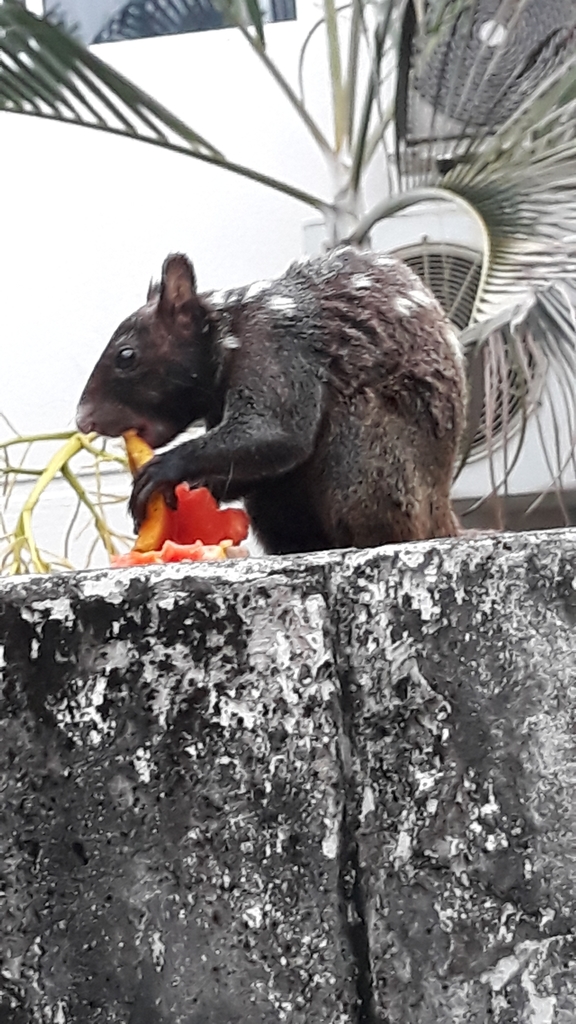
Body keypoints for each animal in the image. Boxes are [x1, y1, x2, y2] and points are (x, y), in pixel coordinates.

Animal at [76, 246, 467, 555]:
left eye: (126, 356)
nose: (83, 420)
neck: (227, 332)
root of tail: (440, 511)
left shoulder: (275, 345)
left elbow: (277, 433)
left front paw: (164, 469)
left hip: (365, 455)